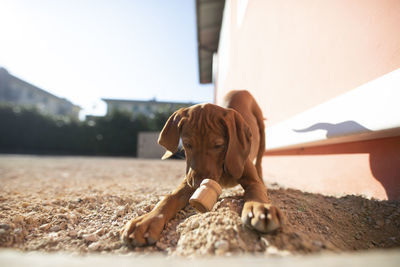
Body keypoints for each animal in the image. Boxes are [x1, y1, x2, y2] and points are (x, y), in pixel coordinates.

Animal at [120, 90, 282, 247]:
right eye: (187, 144)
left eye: (218, 145)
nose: (198, 184)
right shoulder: (188, 180)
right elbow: (169, 198)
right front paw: (146, 221)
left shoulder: (251, 179)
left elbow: (256, 190)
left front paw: (260, 208)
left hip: (261, 128)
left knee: (260, 161)